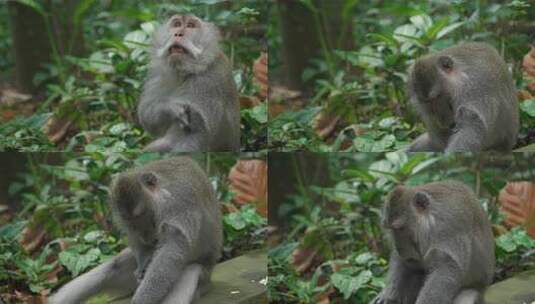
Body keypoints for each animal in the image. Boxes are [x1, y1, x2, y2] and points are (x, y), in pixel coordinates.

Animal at [50, 157, 224, 304]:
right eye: (132, 224)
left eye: (147, 218)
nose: (148, 238)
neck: (160, 192)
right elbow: (135, 241)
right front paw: (143, 262)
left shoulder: (178, 203)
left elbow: (172, 249)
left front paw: (142, 300)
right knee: (114, 266)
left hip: (204, 276)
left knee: (190, 270)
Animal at [138, 14, 241, 152]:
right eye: (176, 24)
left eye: (191, 26)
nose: (178, 34)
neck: (185, 71)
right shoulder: (157, 74)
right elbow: (147, 115)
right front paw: (170, 108)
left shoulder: (207, 81)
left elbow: (199, 133)